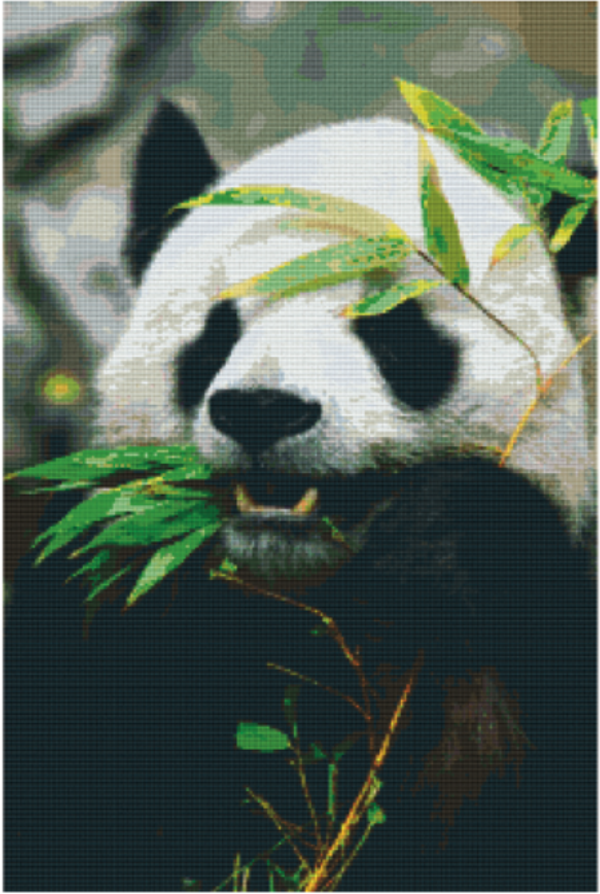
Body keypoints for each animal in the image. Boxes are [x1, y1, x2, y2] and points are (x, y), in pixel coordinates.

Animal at [5, 102, 596, 892]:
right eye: (217, 330)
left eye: (390, 328)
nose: (261, 409)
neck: (307, 597)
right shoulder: (110, 594)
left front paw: (442, 539)